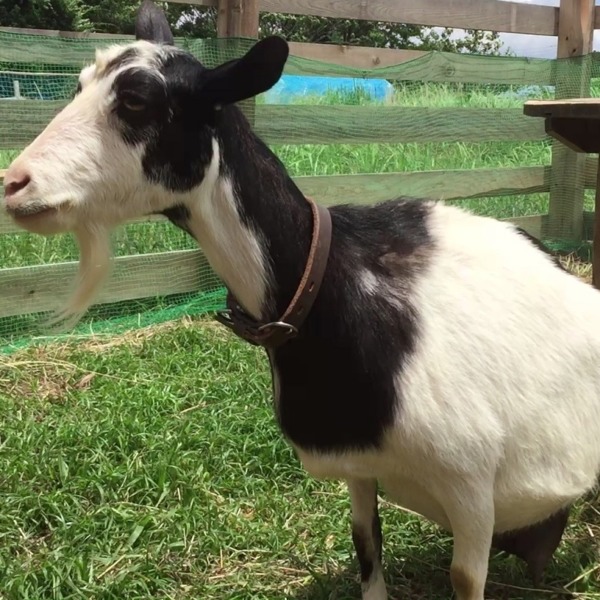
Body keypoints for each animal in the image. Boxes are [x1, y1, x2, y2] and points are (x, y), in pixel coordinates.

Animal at [3, 2, 600, 598]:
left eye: (136, 99)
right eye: (79, 85)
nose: (15, 184)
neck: (333, 291)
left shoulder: (471, 488)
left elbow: (464, 577)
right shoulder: (360, 469)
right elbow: (366, 546)